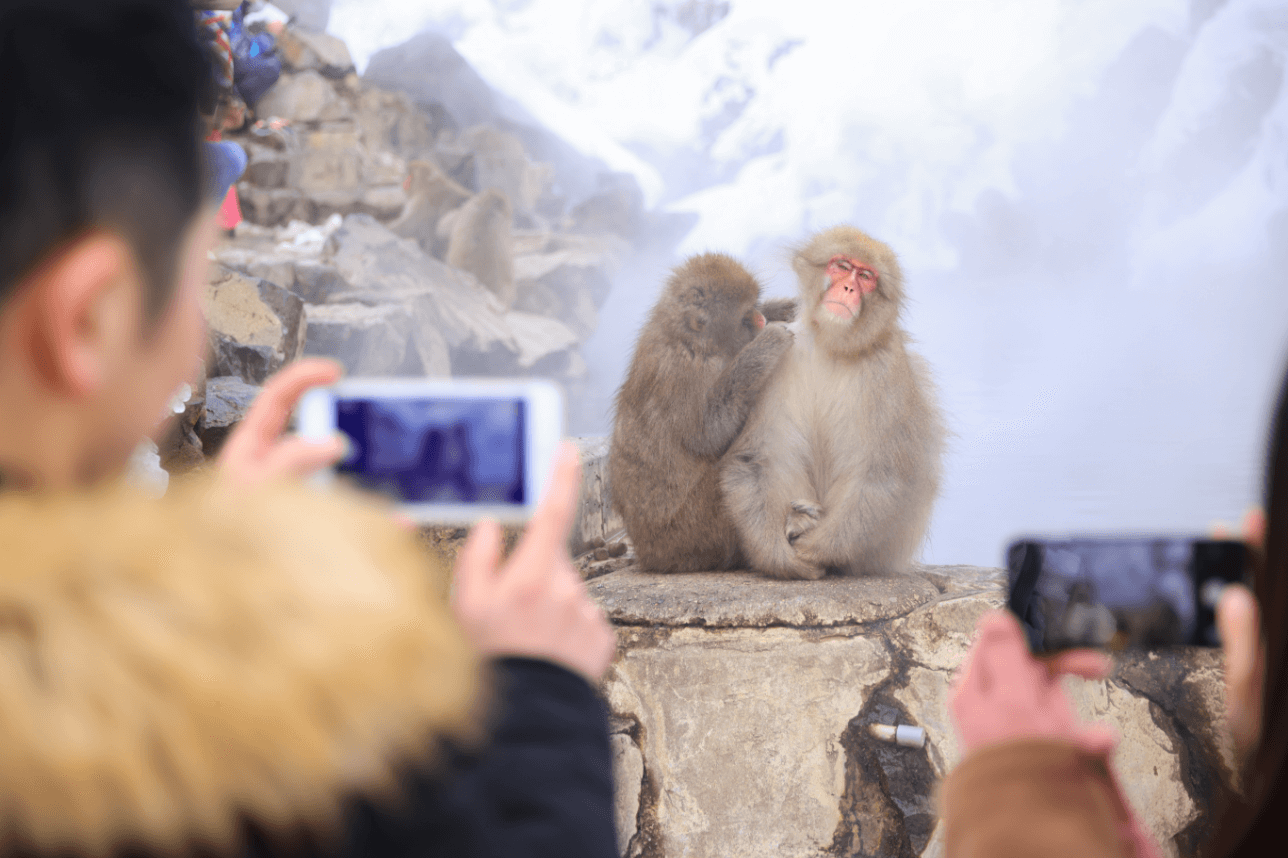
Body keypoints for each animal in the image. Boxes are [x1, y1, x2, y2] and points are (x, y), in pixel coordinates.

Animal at [605, 255, 793, 574]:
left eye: (755, 304)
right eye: (744, 317)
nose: (759, 319)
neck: (689, 339)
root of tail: (651, 555)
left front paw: (779, 309)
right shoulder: (687, 372)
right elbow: (707, 434)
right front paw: (767, 343)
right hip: (696, 530)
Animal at [726, 224, 947, 577]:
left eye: (866, 276)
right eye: (842, 266)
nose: (848, 287)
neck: (829, 343)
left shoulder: (886, 368)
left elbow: (883, 472)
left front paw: (815, 549)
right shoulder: (775, 354)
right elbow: (754, 459)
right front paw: (778, 555)